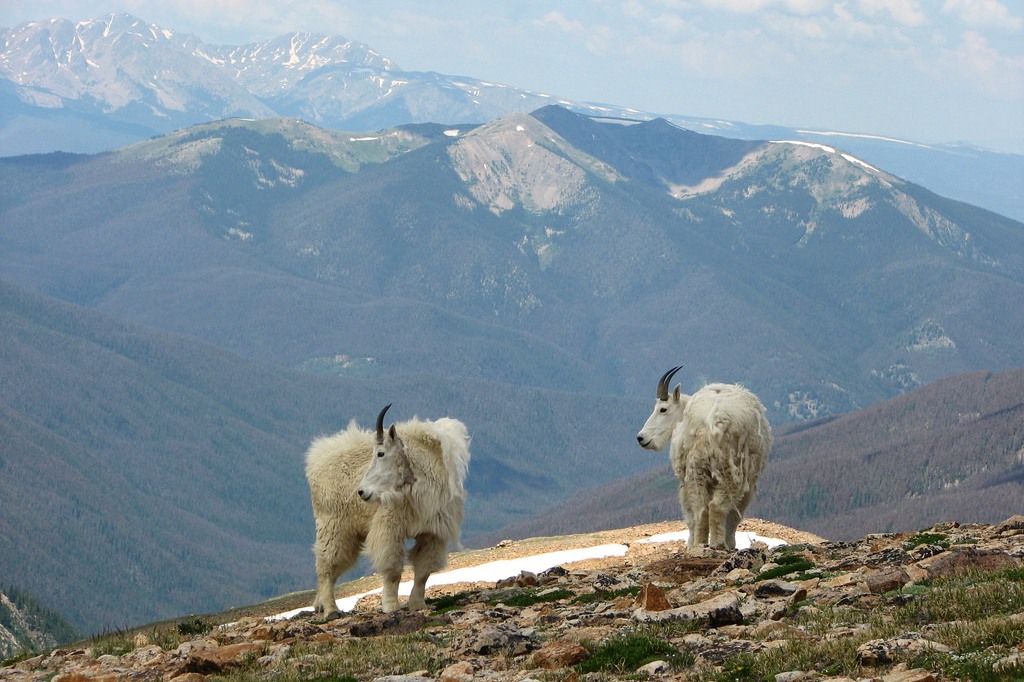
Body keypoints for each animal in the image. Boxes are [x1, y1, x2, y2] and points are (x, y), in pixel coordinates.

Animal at [299, 403, 468, 614]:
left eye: (380, 453)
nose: (361, 492)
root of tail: (316, 458)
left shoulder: (433, 532)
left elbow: (424, 570)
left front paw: (417, 605)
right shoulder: (390, 527)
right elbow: (393, 569)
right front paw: (391, 606)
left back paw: (319, 605)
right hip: (332, 526)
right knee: (326, 565)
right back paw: (330, 609)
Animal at [634, 366, 770, 548]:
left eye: (663, 409)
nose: (641, 438)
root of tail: (714, 420)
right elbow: (734, 515)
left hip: (700, 468)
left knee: (703, 508)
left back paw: (703, 543)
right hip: (727, 469)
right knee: (714, 507)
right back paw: (716, 544)